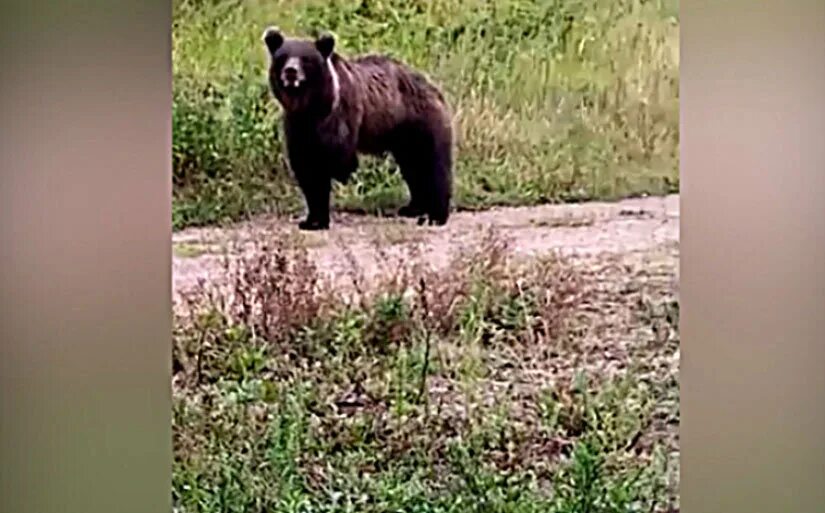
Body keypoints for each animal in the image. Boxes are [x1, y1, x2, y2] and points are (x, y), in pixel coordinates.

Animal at [260, 26, 450, 230]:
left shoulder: (339, 119)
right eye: (283, 56)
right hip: (404, 138)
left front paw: (319, 219)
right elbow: (307, 171)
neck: (312, 108)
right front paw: (311, 220)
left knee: (434, 166)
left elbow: (332, 162)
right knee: (413, 168)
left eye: (306, 58)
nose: (291, 71)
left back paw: (436, 216)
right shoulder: (298, 127)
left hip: (422, 124)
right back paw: (413, 207)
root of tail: (431, 86)